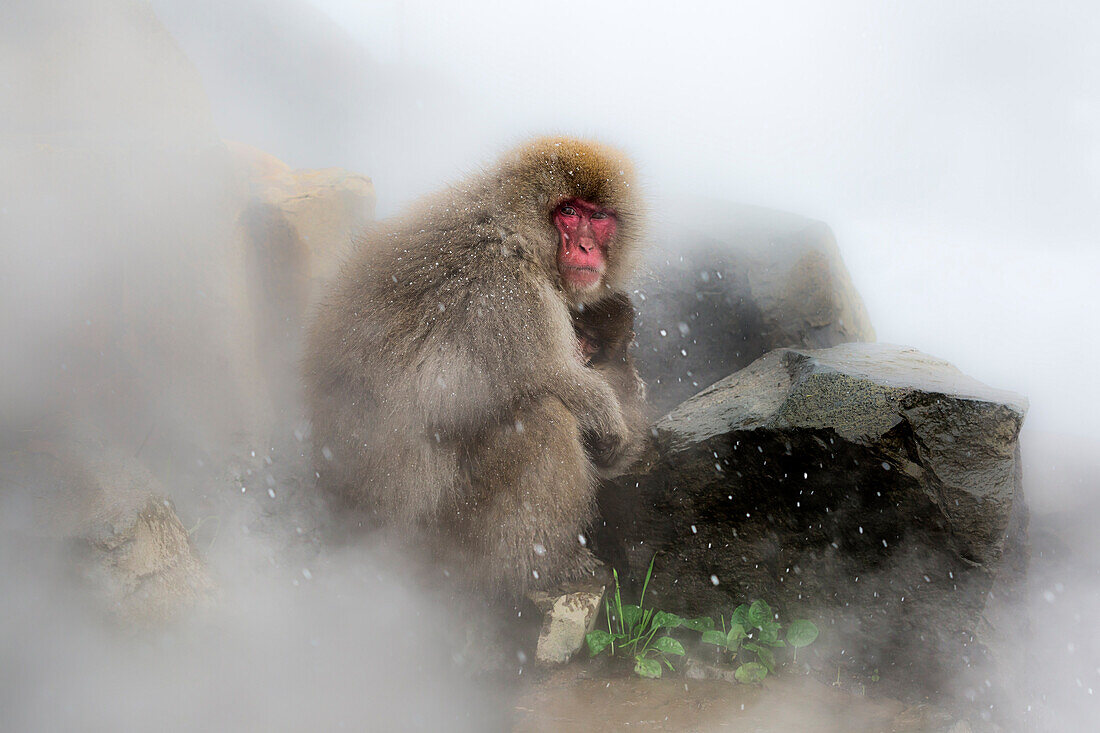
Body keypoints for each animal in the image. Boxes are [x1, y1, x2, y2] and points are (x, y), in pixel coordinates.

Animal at [303, 137, 642, 594]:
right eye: (569, 212)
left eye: (599, 216)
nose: (587, 248)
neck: (514, 232)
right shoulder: (506, 292)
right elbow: (552, 379)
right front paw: (607, 415)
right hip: (441, 527)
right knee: (545, 419)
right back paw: (540, 568)